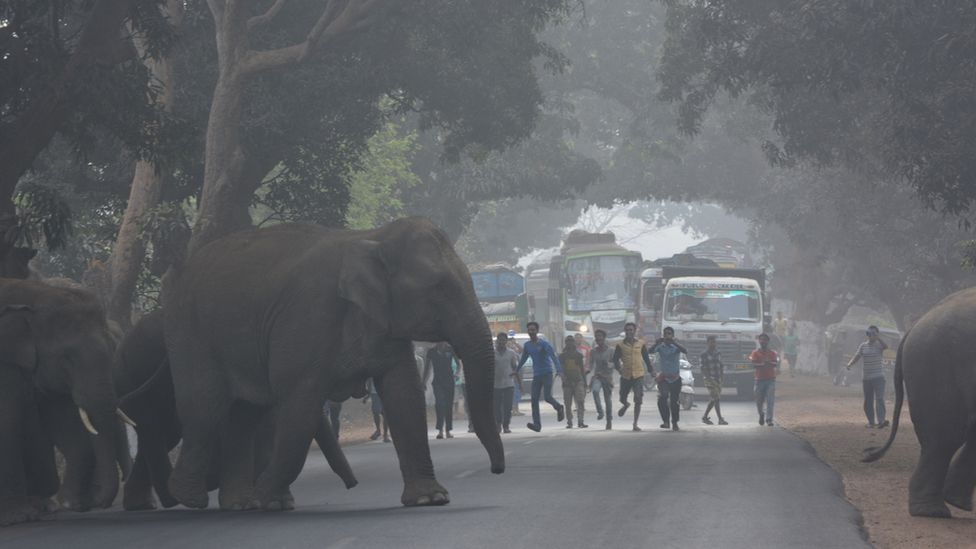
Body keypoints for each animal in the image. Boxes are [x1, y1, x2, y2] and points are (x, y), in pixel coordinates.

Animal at [0, 280, 132, 524]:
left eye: (112, 350)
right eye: (66, 359)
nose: (102, 503)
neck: (34, 293)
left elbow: (62, 419)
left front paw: (72, 503)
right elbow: (7, 420)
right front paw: (18, 517)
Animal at [162, 216, 504, 508]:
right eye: (438, 288)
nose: (496, 470)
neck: (372, 236)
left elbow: (404, 393)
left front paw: (429, 499)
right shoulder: (308, 316)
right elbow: (299, 403)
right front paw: (268, 500)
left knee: (244, 415)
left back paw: (238, 503)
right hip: (190, 333)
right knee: (204, 407)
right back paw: (190, 497)